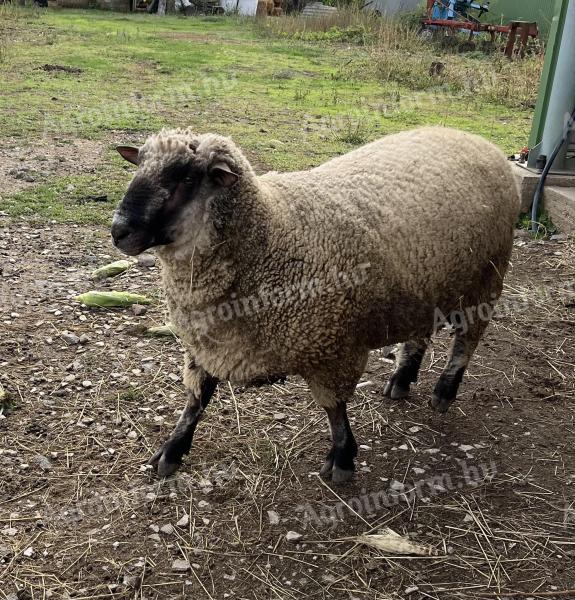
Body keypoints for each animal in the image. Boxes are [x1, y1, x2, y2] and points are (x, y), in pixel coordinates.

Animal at [112, 126, 520, 482]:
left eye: (186, 179)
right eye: (138, 165)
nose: (119, 231)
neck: (270, 232)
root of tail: (475, 138)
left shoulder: (332, 349)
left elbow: (334, 409)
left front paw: (342, 457)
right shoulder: (208, 345)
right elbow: (196, 401)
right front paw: (172, 449)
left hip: (486, 279)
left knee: (466, 341)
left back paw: (444, 392)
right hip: (427, 284)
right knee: (420, 333)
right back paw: (402, 379)